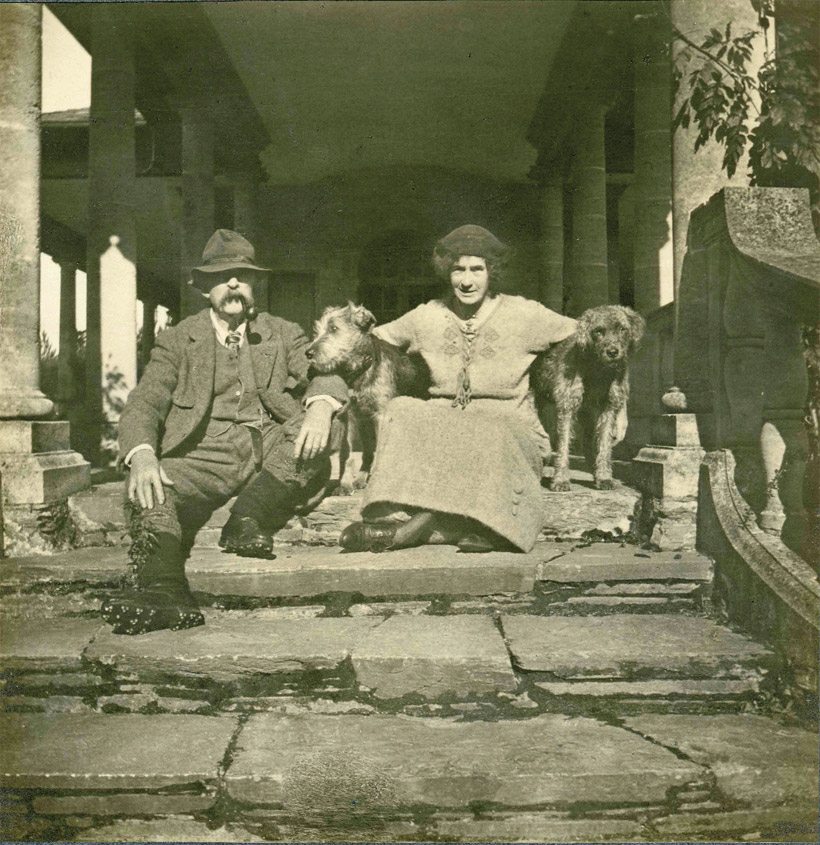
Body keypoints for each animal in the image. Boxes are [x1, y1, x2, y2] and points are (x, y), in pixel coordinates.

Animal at [306, 302, 430, 488]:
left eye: (334, 328)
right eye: (317, 330)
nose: (308, 353)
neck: (360, 371)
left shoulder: (381, 415)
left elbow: (380, 451)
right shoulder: (351, 417)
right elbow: (350, 454)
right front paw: (347, 482)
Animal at [531, 304, 645, 491]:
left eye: (622, 329)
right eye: (598, 331)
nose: (613, 352)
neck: (598, 369)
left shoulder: (607, 410)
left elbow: (604, 445)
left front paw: (604, 477)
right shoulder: (566, 407)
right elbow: (563, 446)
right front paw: (561, 480)